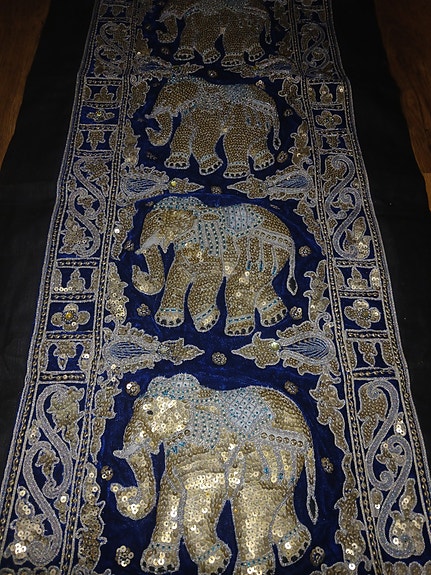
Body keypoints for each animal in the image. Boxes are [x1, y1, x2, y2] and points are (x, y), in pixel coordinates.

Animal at [112, 373, 318, 575]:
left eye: (149, 412)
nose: (118, 489)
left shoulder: (206, 456)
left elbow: (197, 504)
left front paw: (217, 564)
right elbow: (171, 494)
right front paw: (158, 564)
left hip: (270, 460)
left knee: (251, 505)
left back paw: (254, 569)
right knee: (278, 504)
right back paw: (296, 551)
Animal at [132, 196, 297, 336]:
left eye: (159, 219)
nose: (136, 268)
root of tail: (291, 239)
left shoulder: (209, 253)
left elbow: (209, 277)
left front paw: (209, 322)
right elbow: (176, 274)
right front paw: (168, 321)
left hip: (263, 250)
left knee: (238, 285)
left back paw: (238, 331)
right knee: (259, 286)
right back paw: (275, 317)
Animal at [145, 76, 281, 179]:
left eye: (169, 91)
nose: (148, 129)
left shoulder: (209, 115)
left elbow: (201, 138)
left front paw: (212, 167)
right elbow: (183, 132)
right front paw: (176, 164)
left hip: (249, 121)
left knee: (232, 140)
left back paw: (235, 174)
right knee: (257, 142)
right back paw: (265, 163)